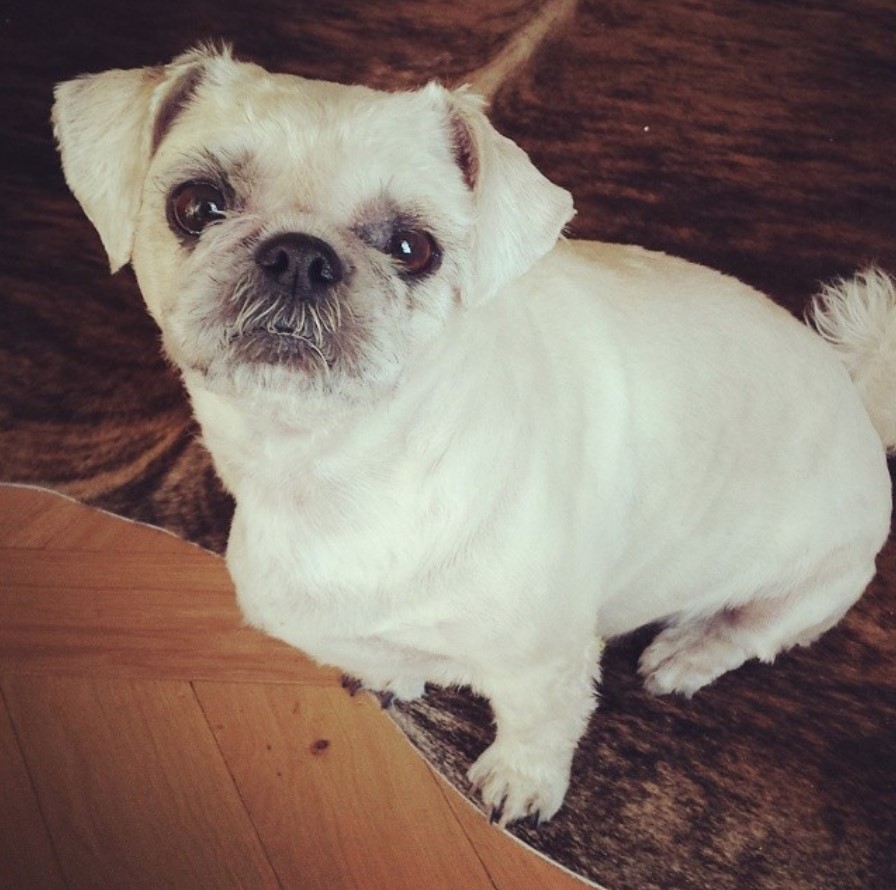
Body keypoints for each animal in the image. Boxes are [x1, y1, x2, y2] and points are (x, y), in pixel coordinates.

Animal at [54, 46, 896, 824]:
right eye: (197, 205)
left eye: (412, 248)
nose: (300, 255)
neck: (335, 472)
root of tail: (855, 397)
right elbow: (375, 649)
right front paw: (395, 675)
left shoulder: (548, 662)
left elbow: (540, 727)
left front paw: (522, 782)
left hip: (809, 584)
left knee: (752, 630)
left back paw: (690, 651)